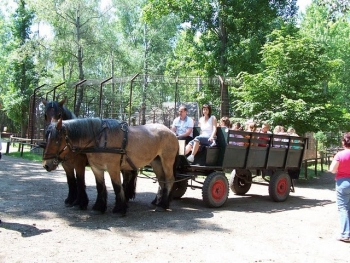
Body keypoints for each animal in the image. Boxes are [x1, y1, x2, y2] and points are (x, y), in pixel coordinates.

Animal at [42, 118, 178, 216]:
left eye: (56, 141)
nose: (46, 164)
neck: (99, 140)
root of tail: (170, 132)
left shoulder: (112, 168)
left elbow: (116, 186)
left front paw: (119, 209)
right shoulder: (96, 168)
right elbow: (99, 186)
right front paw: (99, 207)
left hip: (167, 160)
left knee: (170, 180)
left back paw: (163, 205)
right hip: (156, 162)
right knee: (162, 181)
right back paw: (159, 202)